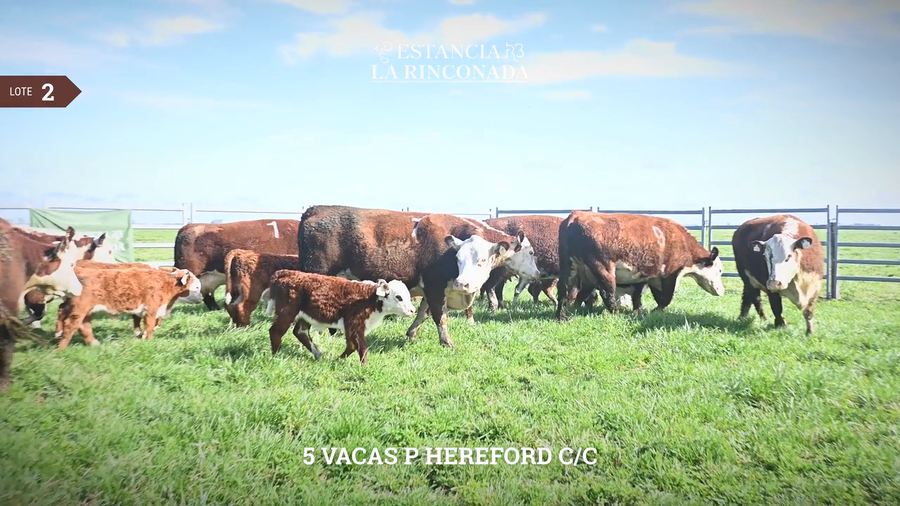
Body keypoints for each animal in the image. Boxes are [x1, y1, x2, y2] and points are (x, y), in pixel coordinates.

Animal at [55, 267, 202, 350]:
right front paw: (149, 339)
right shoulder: (151, 309)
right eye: (196, 287)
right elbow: (149, 325)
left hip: (86, 310)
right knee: (71, 325)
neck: (166, 283)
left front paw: (142, 336)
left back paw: (91, 342)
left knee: (80, 323)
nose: (202, 298)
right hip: (81, 308)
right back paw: (61, 348)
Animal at [267, 270, 417, 363]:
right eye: (398, 297)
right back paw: (275, 355)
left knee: (300, 332)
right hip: (286, 313)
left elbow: (351, 345)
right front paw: (364, 365)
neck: (368, 299)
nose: (412, 310)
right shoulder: (355, 323)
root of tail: (285, 273)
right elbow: (361, 346)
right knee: (275, 331)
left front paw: (339, 359)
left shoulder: (351, 326)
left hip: (304, 317)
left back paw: (318, 354)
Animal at [297, 205, 540, 347]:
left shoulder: (431, 290)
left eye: (480, 260)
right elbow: (440, 316)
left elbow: (423, 313)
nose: (462, 283)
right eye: (458, 259)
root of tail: (315, 209)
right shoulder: (435, 286)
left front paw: (411, 333)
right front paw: (447, 342)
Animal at [556, 211, 725, 321]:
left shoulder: (652, 277)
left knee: (564, 290)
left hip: (571, 268)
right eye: (720, 270)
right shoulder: (670, 275)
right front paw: (654, 310)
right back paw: (615, 314)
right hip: (603, 268)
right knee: (607, 292)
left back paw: (563, 315)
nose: (722, 291)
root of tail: (576, 215)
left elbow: (646, 297)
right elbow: (666, 297)